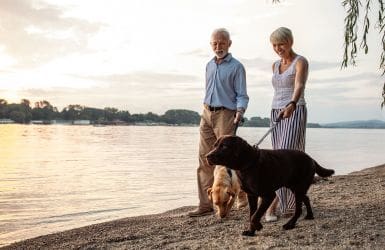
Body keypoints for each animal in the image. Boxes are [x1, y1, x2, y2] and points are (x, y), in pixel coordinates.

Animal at [206, 136, 334, 235]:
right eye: (214, 145)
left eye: (224, 146)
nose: (207, 156)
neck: (250, 163)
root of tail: (311, 158)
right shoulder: (251, 195)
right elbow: (252, 215)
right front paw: (251, 232)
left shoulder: (268, 195)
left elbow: (255, 216)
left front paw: (258, 226)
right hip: (294, 187)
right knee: (306, 198)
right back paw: (309, 215)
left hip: (298, 188)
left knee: (298, 209)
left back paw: (290, 224)